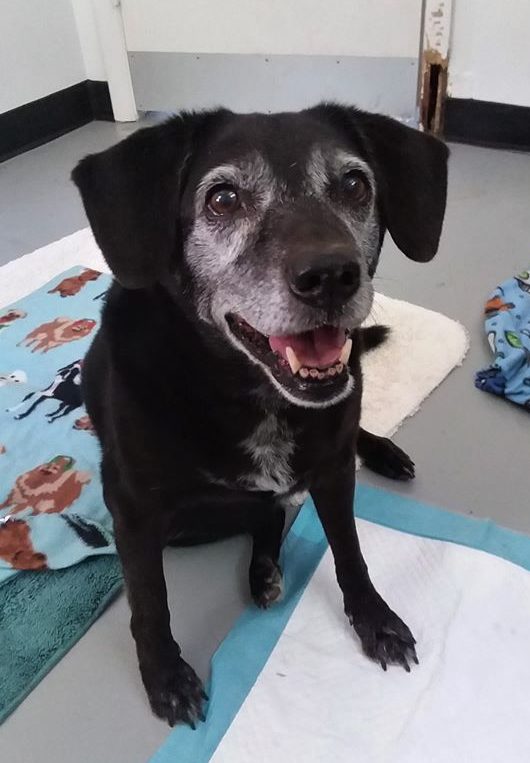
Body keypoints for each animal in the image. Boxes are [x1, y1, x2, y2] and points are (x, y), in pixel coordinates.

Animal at [73, 104, 448, 727]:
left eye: (355, 185)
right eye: (222, 199)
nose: (331, 275)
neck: (257, 398)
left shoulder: (333, 471)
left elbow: (350, 550)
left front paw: (374, 619)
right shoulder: (134, 511)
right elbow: (150, 602)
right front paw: (166, 677)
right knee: (263, 516)